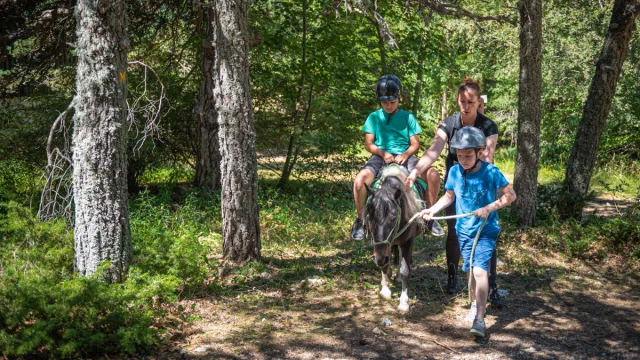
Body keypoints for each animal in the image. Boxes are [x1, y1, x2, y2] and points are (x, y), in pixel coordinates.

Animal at [362, 165, 422, 312]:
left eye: (393, 217)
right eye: (368, 217)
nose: (379, 259)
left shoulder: (408, 241)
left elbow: (406, 270)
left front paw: (404, 302)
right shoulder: (382, 247)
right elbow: (384, 264)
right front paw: (385, 289)